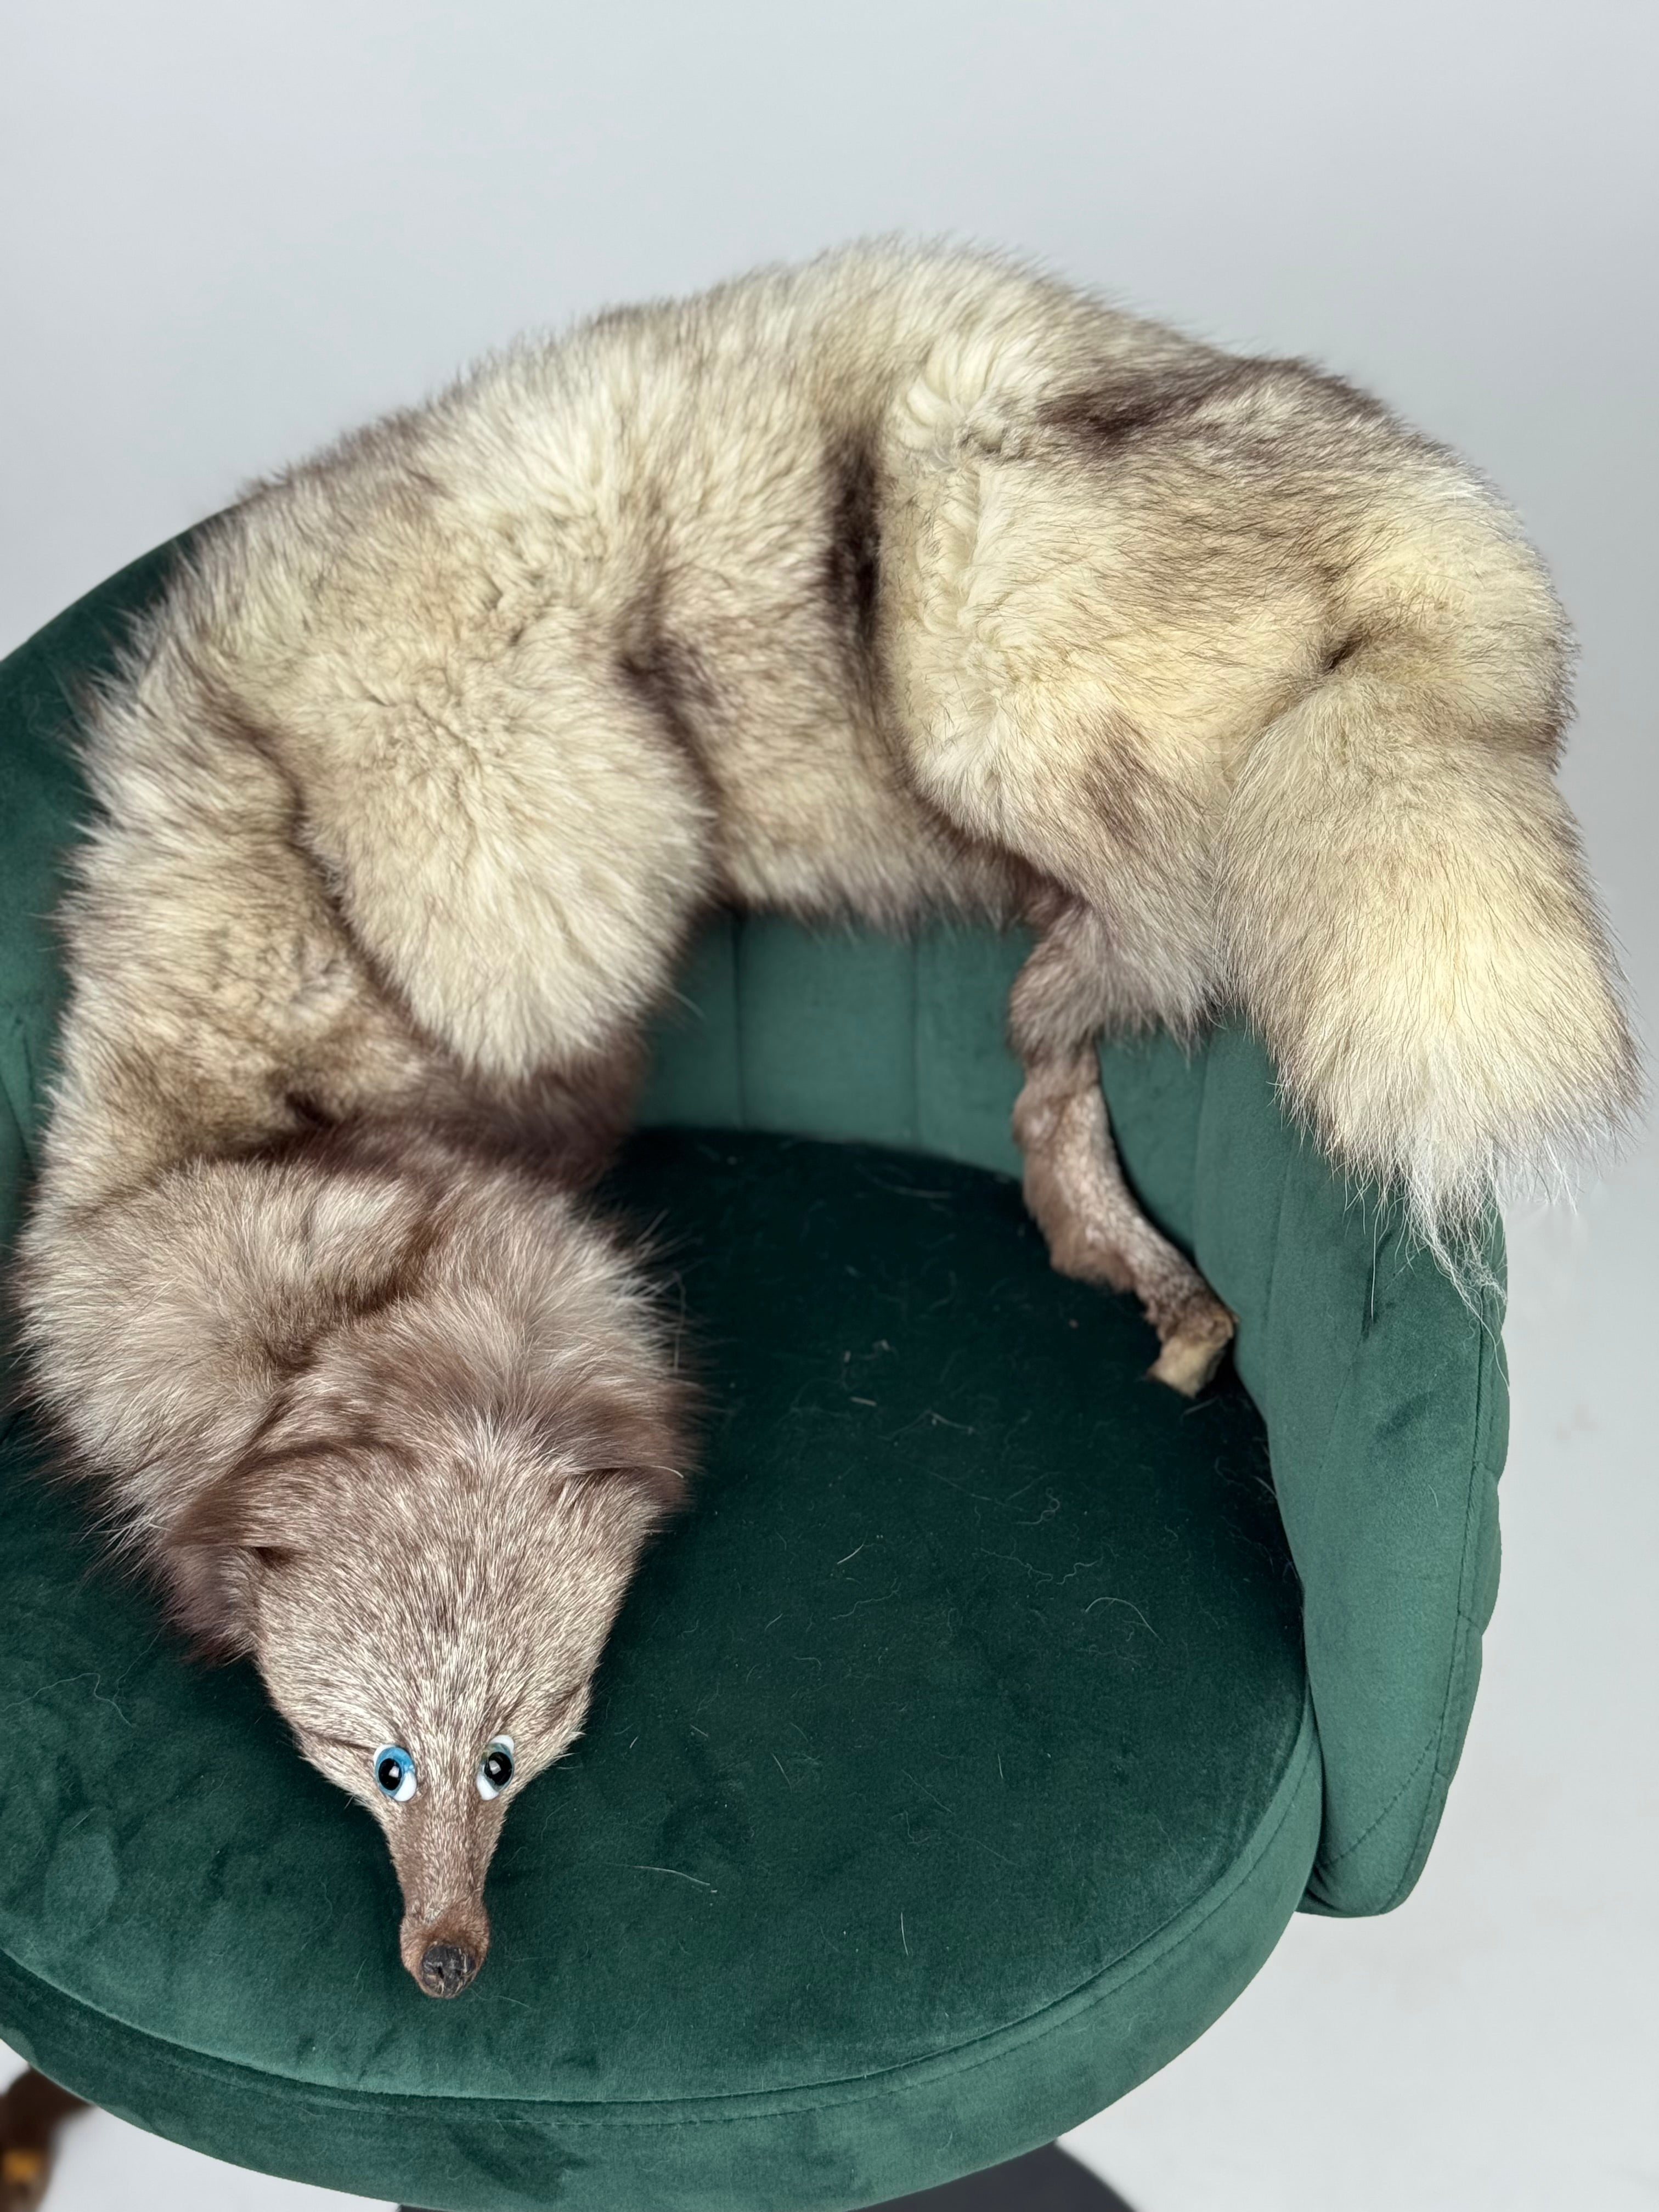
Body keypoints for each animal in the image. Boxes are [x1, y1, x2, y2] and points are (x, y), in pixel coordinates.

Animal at [14, 241, 1637, 1999]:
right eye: (375, 1763)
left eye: (508, 1755)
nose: (447, 1957)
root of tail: (1428, 520)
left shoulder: (521, 842)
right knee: (1116, 1003)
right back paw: (1126, 1243)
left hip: (978, 665)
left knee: (1155, 941)